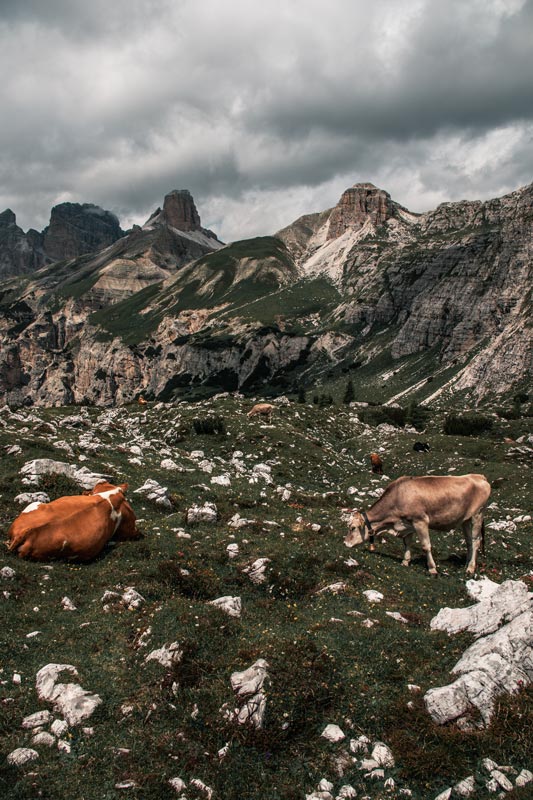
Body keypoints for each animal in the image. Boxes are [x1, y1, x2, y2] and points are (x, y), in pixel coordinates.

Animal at [345, 474, 491, 575]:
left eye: (352, 528)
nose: (345, 543)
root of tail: (479, 476)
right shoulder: (407, 524)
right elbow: (407, 543)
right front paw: (405, 561)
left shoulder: (420, 521)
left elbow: (426, 546)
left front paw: (432, 568)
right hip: (465, 520)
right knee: (469, 541)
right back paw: (467, 564)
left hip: (478, 514)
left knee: (476, 541)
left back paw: (470, 568)